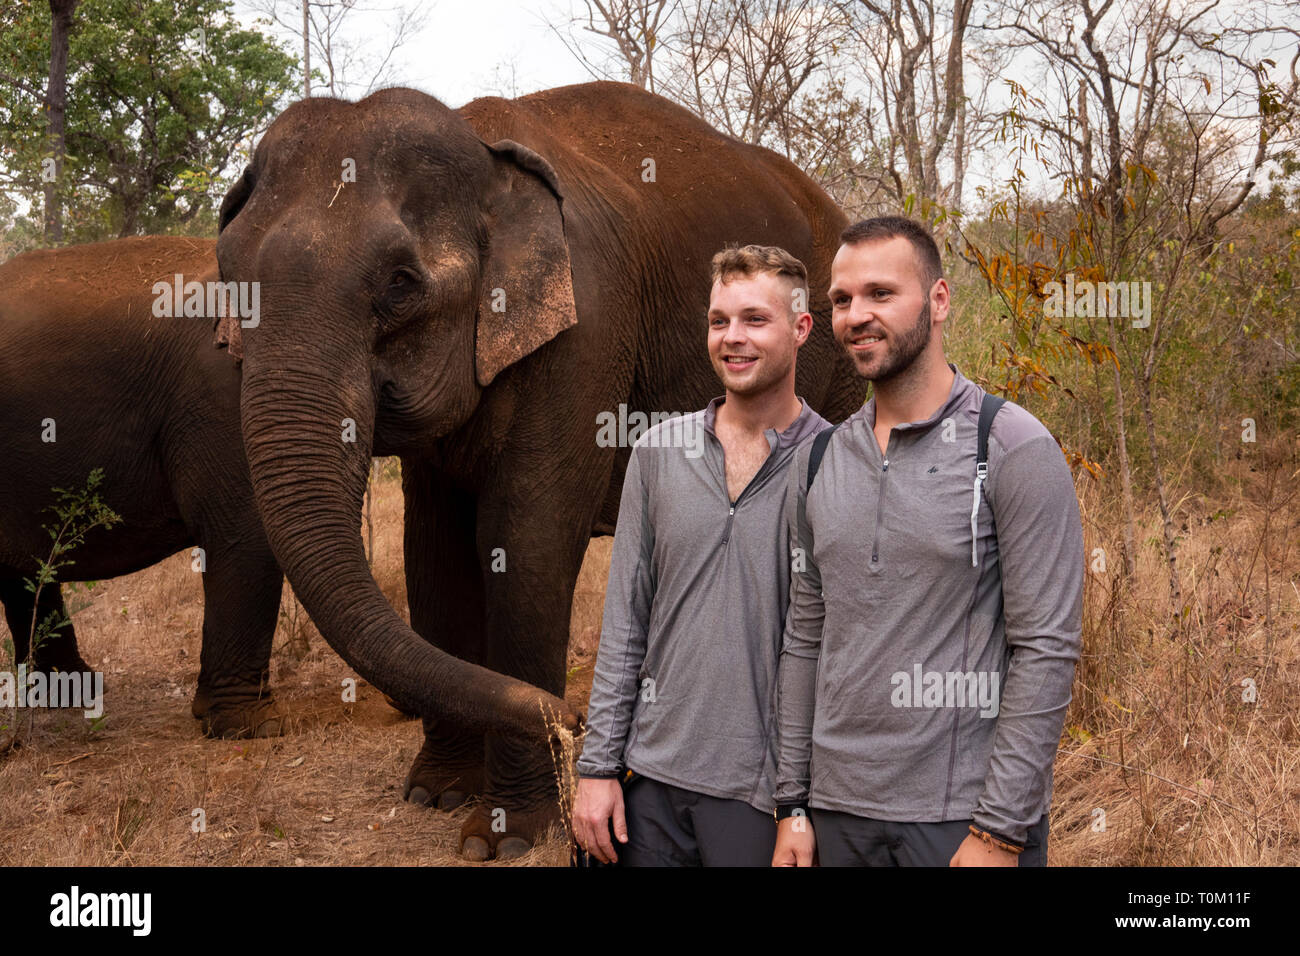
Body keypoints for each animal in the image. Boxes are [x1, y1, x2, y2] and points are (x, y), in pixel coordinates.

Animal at [210, 80, 863, 858]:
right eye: (230, 281)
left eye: (400, 285)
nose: (571, 722)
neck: (482, 151)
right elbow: (435, 551)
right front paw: (436, 795)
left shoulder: (587, 331)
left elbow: (525, 542)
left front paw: (504, 836)